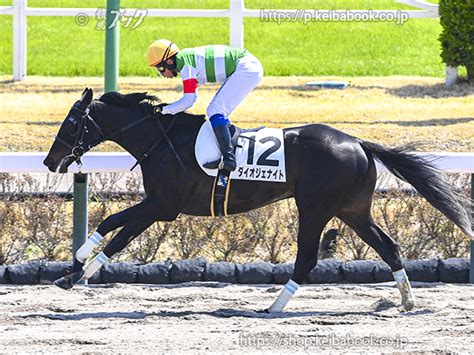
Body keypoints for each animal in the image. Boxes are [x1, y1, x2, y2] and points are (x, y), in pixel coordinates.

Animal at [43, 88, 470, 312]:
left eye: (71, 123)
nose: (49, 161)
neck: (161, 141)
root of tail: (358, 142)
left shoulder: (163, 205)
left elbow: (114, 230)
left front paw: (76, 267)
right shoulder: (158, 206)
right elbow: (115, 232)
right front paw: (74, 271)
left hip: (315, 207)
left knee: (308, 257)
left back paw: (275, 306)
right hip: (352, 210)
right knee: (389, 247)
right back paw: (407, 301)